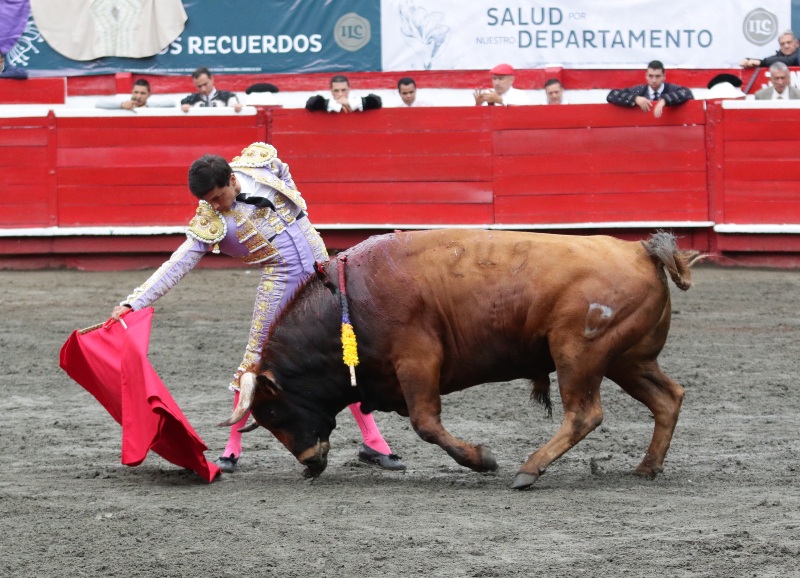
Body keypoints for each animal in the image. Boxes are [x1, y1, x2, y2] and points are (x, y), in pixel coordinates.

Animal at [220, 227, 700, 488]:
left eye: (273, 411)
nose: (309, 462)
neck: (347, 299)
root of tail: (639, 251)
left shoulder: (418, 360)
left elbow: (425, 422)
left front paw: (482, 460)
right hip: (627, 360)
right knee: (668, 398)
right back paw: (647, 467)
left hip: (577, 353)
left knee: (584, 413)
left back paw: (529, 470)